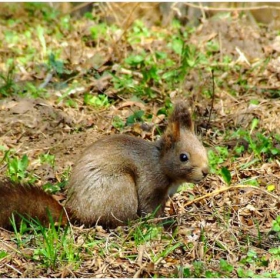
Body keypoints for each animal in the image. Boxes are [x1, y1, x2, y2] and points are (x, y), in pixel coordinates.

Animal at [0, 101, 208, 230]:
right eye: (183, 157)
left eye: (203, 148)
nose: (206, 172)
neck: (160, 163)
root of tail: (75, 212)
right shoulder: (150, 184)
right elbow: (150, 209)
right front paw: (163, 226)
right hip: (120, 187)